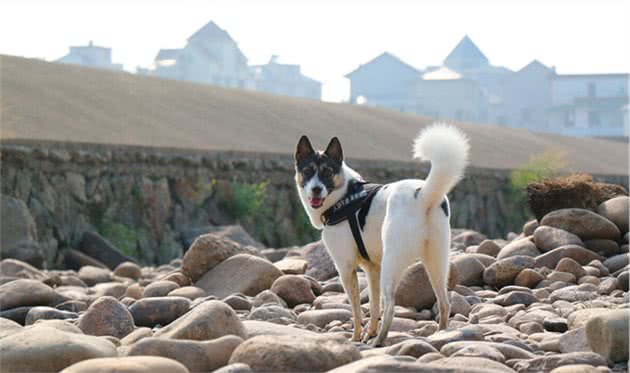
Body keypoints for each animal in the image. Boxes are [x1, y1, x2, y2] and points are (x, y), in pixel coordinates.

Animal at [296, 123, 470, 344]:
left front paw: (356, 337)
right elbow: (373, 306)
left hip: (391, 264)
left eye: (327, 172)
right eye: (307, 171)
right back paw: (440, 333)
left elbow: (357, 310)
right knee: (444, 303)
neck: (343, 195)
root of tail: (423, 195)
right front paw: (368, 332)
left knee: (390, 308)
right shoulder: (372, 269)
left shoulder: (346, 269)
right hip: (436, 264)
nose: (316, 189)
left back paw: (379, 340)